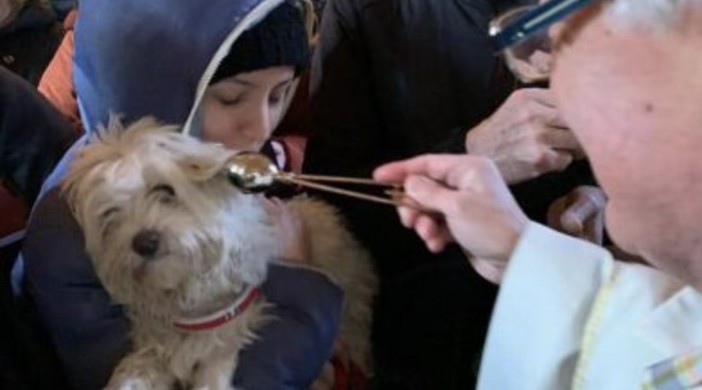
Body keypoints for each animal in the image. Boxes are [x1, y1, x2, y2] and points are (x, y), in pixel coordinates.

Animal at [63, 117, 376, 388]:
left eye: (166, 190)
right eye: (110, 215)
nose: (145, 242)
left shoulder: (234, 327)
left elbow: (217, 364)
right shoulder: (156, 342)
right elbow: (135, 369)